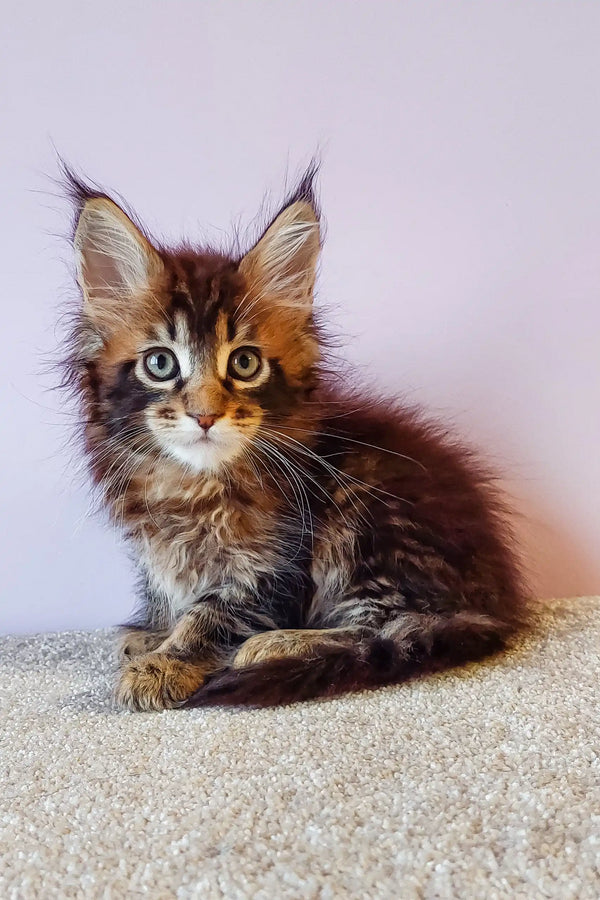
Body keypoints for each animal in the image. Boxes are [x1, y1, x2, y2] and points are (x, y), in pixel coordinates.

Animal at [63, 167, 528, 712]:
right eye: (160, 363)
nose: (205, 415)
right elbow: (167, 592)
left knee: (393, 625)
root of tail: (494, 602)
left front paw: (167, 662)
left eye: (244, 363)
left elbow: (213, 616)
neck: (193, 485)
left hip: (366, 516)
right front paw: (154, 633)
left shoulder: (275, 565)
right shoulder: (158, 552)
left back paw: (275, 645)